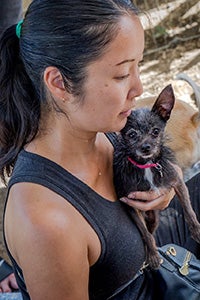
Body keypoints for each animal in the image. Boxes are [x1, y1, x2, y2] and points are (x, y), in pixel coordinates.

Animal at [113, 85, 200, 270]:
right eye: (132, 135)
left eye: (155, 131)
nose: (146, 147)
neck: (147, 166)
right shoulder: (130, 205)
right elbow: (145, 234)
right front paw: (153, 256)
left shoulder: (178, 182)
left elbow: (188, 210)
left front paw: (196, 230)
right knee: (149, 233)